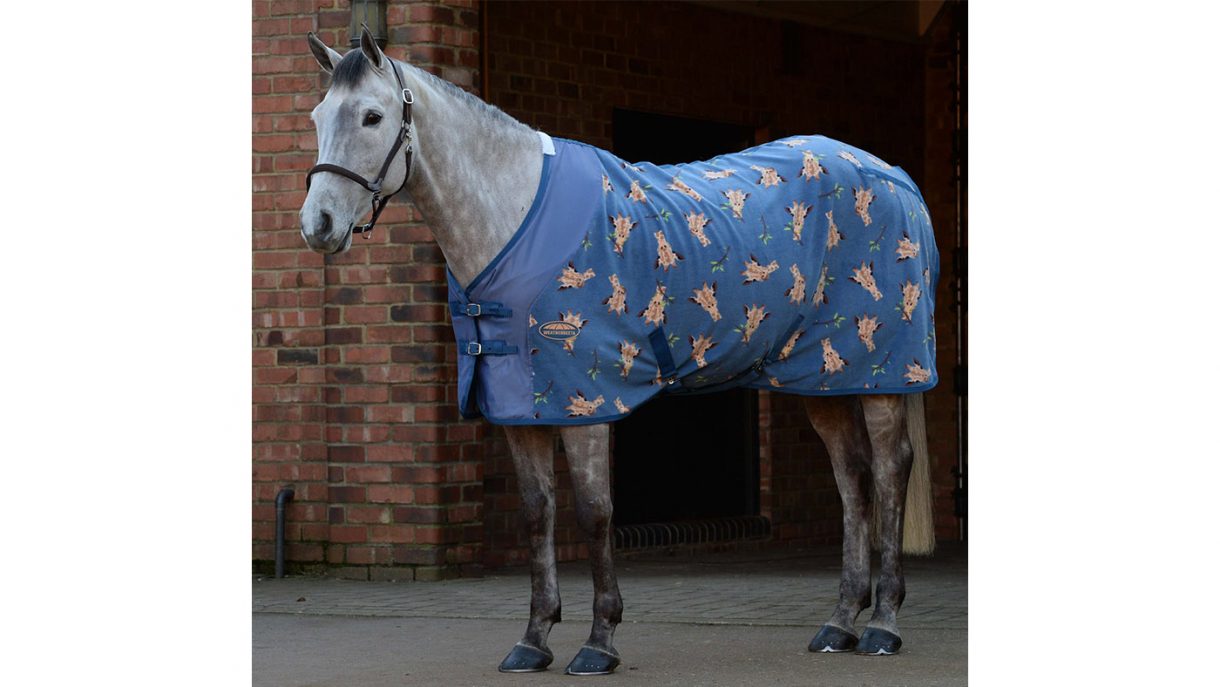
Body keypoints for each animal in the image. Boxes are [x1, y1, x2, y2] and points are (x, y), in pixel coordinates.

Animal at [297, 27, 938, 676]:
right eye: (319, 116)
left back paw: (882, 624)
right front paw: (533, 640)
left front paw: (599, 642)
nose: (317, 225)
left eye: (373, 117)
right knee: (853, 476)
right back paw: (839, 623)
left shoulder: (587, 399)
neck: (511, 217)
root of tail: (894, 176)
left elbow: (594, 511)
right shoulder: (518, 407)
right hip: (824, 377)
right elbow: (538, 513)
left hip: (880, 371)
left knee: (889, 472)